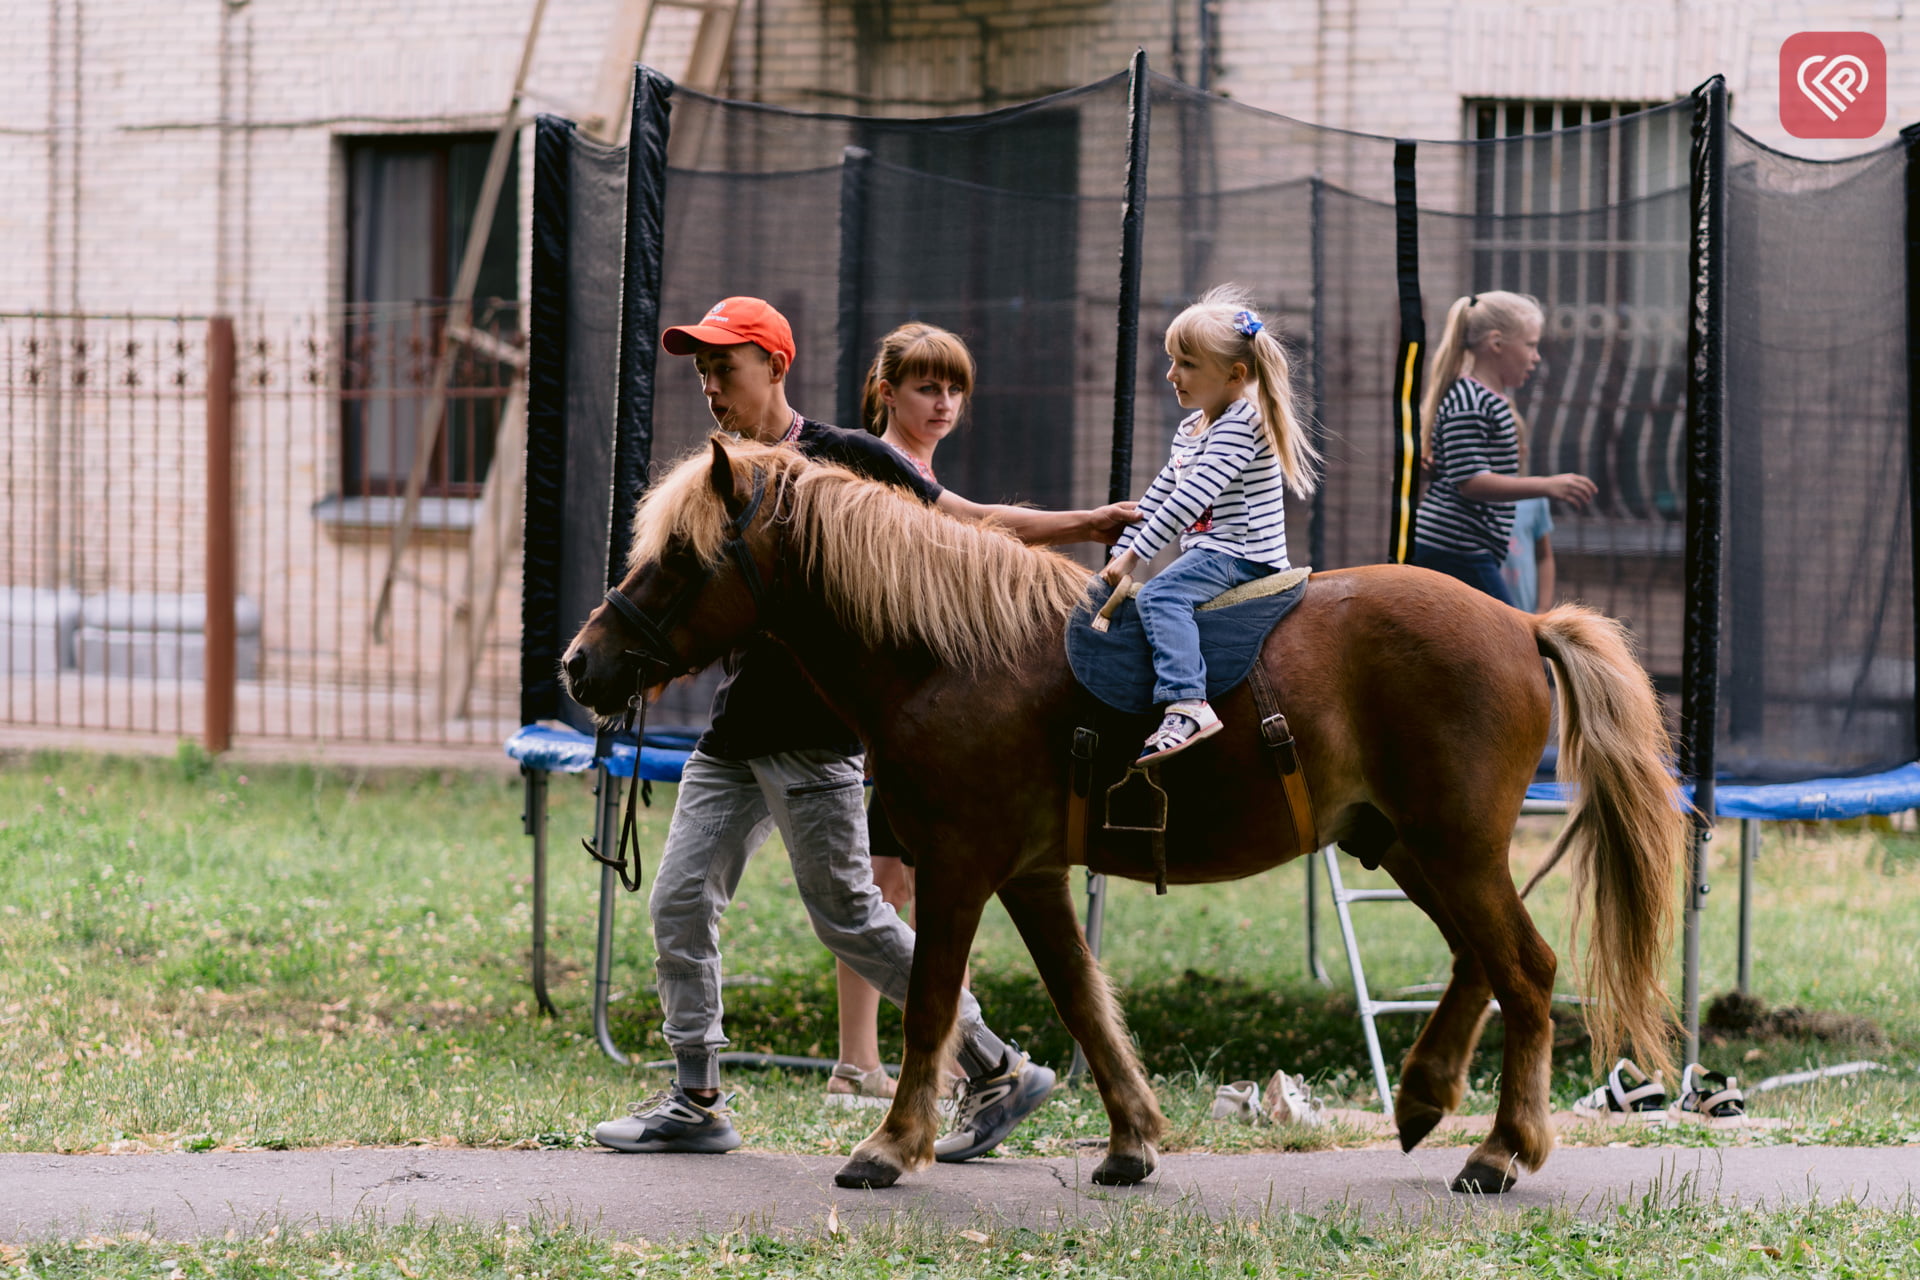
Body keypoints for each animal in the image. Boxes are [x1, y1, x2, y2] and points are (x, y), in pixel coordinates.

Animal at [560, 435, 1681, 1197]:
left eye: (680, 558)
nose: (582, 662)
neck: (953, 655)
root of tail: (1523, 623)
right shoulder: (1030, 875)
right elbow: (1084, 1002)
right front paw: (1132, 1137)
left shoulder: (961, 866)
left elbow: (931, 1004)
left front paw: (890, 1144)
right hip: (1412, 845)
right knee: (1480, 966)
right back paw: (1424, 1097)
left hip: (1452, 847)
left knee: (1524, 970)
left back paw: (1499, 1148)